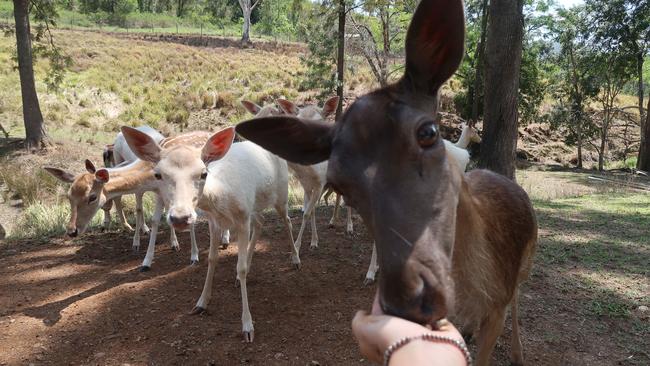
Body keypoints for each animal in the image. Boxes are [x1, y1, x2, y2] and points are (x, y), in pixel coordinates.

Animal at [120, 126, 298, 344]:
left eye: (203, 173)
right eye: (157, 174)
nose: (181, 217)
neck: (221, 197)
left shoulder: (242, 217)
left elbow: (241, 268)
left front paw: (248, 326)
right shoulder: (215, 222)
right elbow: (212, 259)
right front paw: (201, 303)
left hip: (281, 194)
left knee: (287, 220)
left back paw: (296, 259)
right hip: (255, 206)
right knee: (260, 223)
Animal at [235, 0, 536, 364]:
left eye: (428, 132)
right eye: (342, 179)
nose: (409, 295)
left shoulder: (496, 308)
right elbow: (309, 211)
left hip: (524, 265)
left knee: (518, 297)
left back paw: (518, 350)